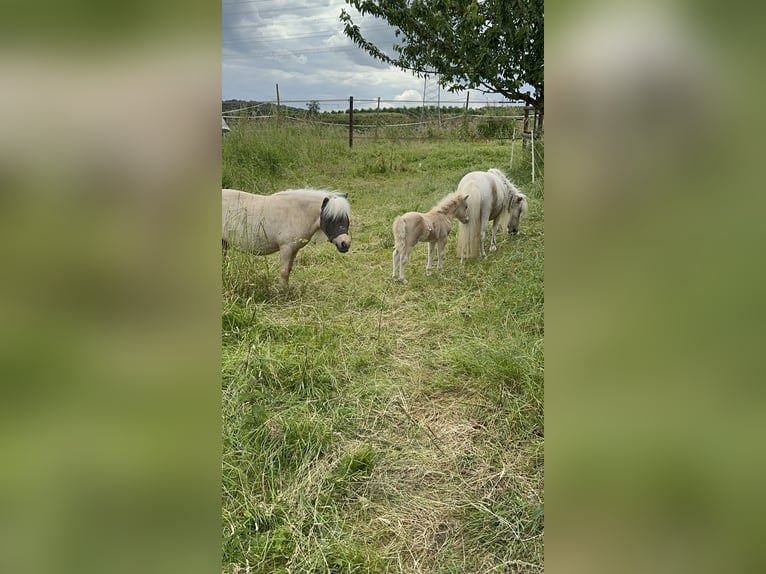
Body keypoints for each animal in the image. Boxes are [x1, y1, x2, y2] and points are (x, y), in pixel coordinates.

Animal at [224, 189, 352, 288]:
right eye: (330, 219)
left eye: (346, 218)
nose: (345, 244)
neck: (297, 213)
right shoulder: (286, 248)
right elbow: (284, 272)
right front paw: (282, 292)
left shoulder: (294, 249)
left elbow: (289, 270)